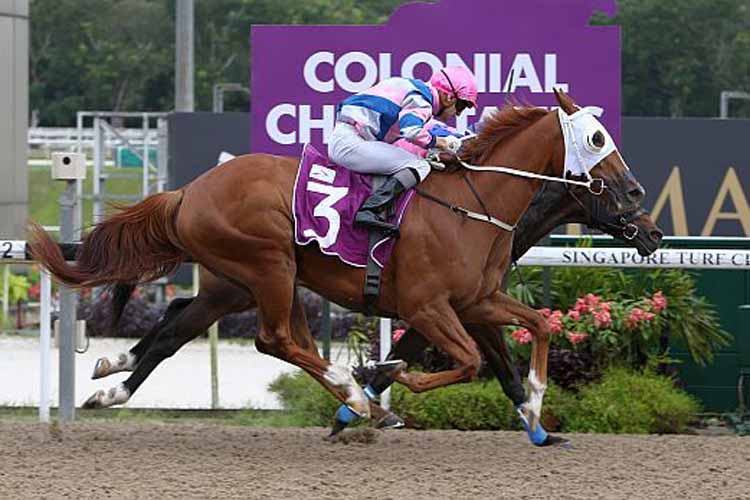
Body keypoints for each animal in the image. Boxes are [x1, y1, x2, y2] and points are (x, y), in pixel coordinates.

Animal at [27, 90, 664, 438]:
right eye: (597, 138)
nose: (647, 216)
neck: (475, 207)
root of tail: (189, 191)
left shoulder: (477, 299)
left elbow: (537, 326)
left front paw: (535, 402)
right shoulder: (429, 306)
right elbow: (466, 362)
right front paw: (383, 378)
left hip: (247, 280)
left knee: (184, 324)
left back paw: (113, 380)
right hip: (268, 266)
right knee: (274, 340)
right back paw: (355, 395)